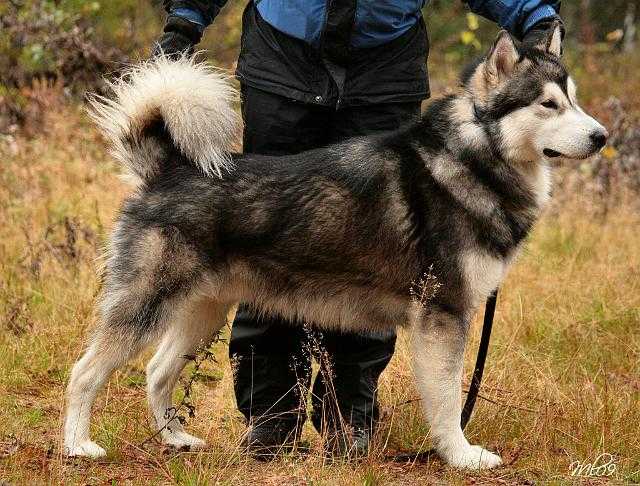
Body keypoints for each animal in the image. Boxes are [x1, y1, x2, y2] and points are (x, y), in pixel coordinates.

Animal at [66, 25, 608, 468]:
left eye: (574, 100)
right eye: (548, 104)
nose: (601, 136)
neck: (472, 159)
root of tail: (168, 169)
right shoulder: (442, 317)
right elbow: (449, 401)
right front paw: (461, 456)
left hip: (202, 313)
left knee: (157, 372)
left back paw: (175, 439)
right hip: (143, 309)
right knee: (83, 373)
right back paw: (77, 446)